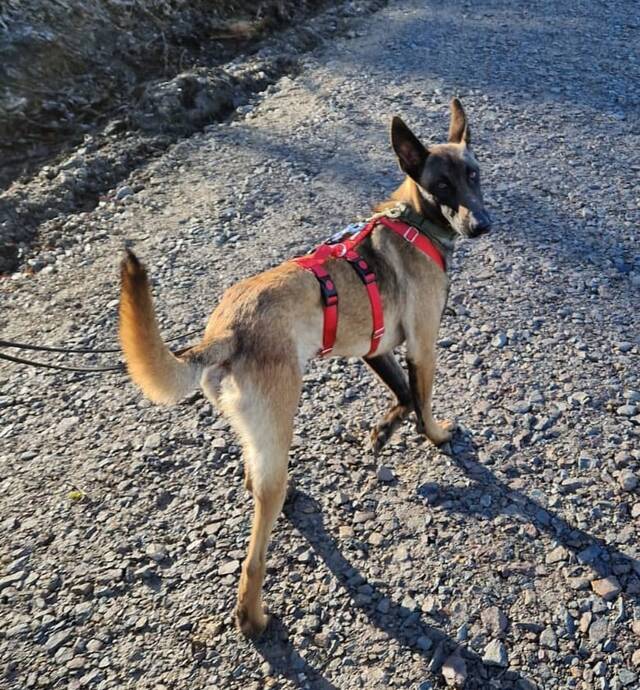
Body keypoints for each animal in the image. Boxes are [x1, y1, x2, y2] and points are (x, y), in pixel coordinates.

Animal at [119, 98, 491, 637]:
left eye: (473, 175)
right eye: (441, 186)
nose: (481, 224)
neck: (414, 221)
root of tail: (224, 333)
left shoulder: (376, 349)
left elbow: (401, 396)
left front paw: (381, 433)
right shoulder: (423, 347)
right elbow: (422, 403)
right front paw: (438, 437)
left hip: (261, 432)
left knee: (254, 474)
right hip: (279, 423)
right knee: (253, 556)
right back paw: (252, 619)